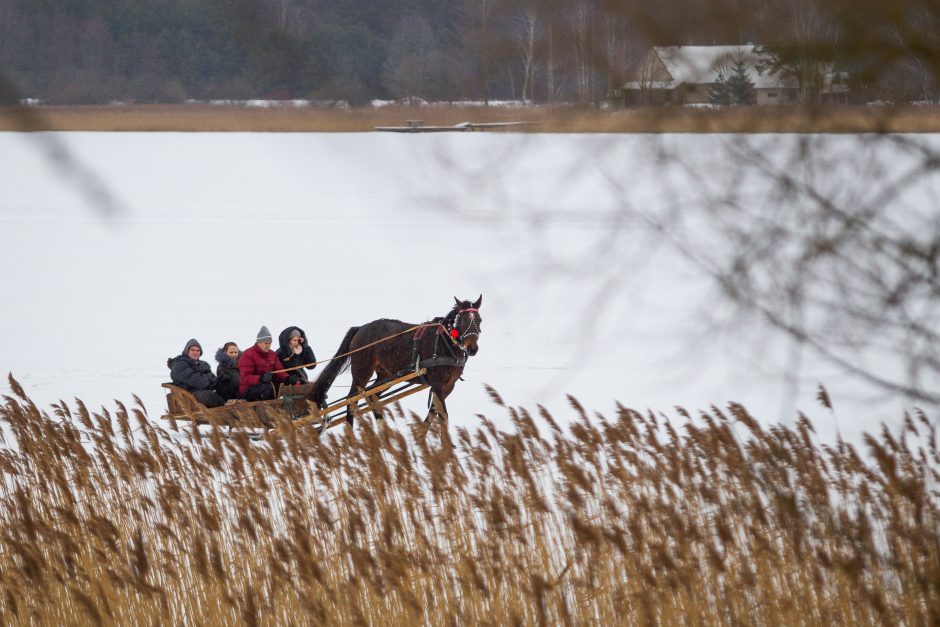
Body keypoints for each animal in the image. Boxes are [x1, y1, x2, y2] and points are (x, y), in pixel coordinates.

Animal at [310, 296, 484, 426]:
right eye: (463, 320)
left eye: (480, 320)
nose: (472, 349)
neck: (443, 341)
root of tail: (360, 328)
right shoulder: (438, 384)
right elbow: (443, 416)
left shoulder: (448, 386)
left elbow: (433, 413)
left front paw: (421, 438)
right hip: (362, 371)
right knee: (351, 401)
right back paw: (350, 436)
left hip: (385, 375)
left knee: (373, 397)